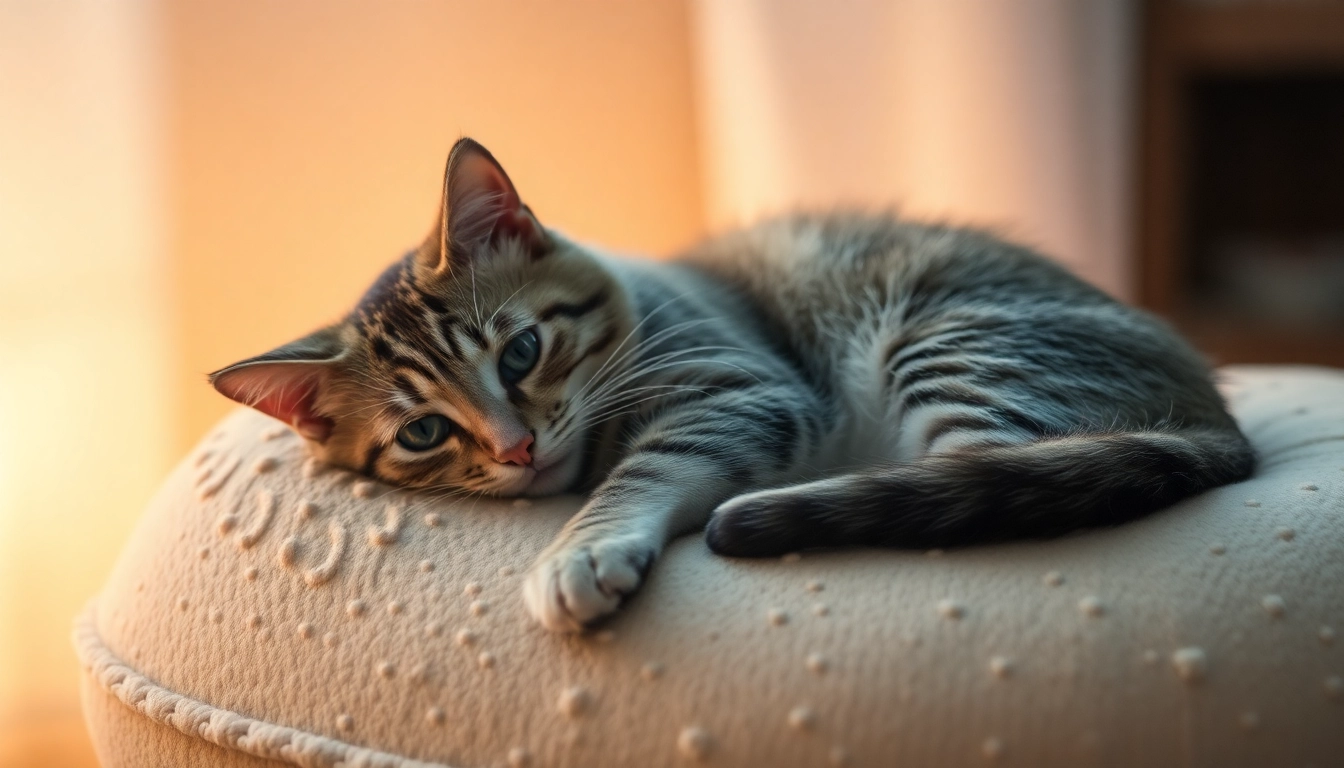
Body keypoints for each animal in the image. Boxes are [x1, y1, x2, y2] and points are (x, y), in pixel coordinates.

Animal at [209, 136, 1247, 632]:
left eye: (520, 351)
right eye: (423, 432)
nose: (516, 448)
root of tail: (1217, 419)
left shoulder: (743, 382)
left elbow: (649, 466)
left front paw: (581, 550)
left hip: (960, 343)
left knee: (979, 486)